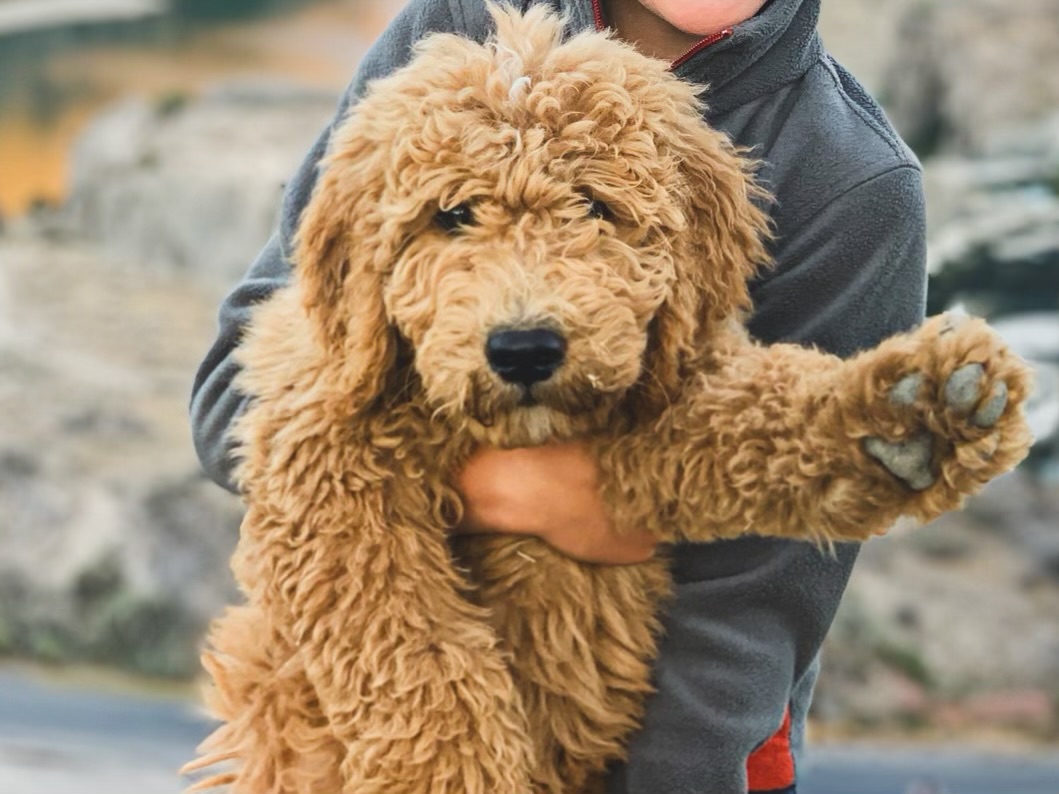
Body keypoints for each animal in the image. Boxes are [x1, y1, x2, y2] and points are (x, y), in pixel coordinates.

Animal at [186, 6, 1029, 794]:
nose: (524, 348)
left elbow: (753, 412)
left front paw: (914, 410)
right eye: (451, 214)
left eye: (593, 205)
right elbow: (417, 664)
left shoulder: (649, 413)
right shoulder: (323, 464)